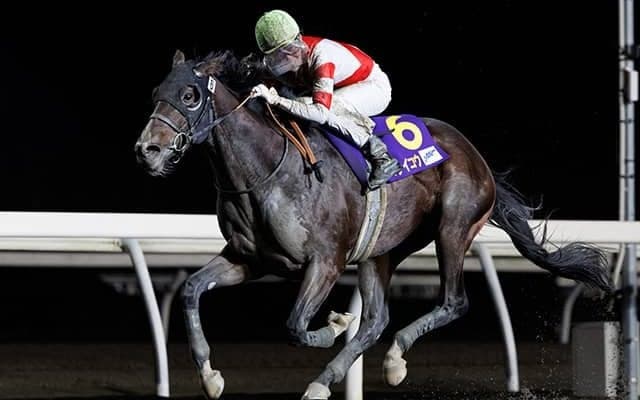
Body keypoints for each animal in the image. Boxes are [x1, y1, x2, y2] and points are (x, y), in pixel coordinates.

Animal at [134, 49, 613, 400]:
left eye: (190, 95)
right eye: (156, 91)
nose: (147, 151)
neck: (265, 171)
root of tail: (476, 156)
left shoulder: (325, 261)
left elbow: (295, 326)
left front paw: (333, 323)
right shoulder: (249, 260)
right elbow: (191, 290)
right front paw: (210, 377)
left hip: (453, 228)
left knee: (453, 302)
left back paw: (393, 360)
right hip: (380, 252)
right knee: (376, 320)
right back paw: (329, 381)